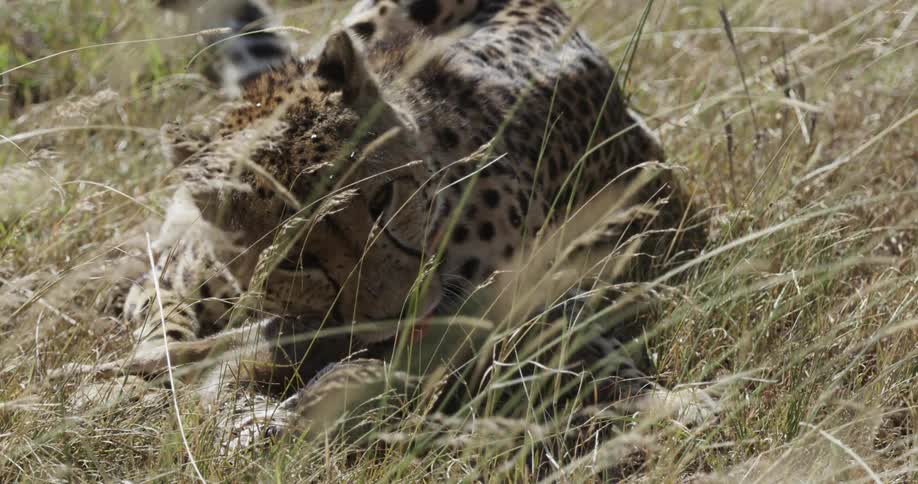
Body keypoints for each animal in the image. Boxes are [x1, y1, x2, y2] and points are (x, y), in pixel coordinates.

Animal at [70, 0, 715, 449]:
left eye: (383, 198)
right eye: (298, 259)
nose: (397, 312)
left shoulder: (540, 310)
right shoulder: (190, 278)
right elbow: (166, 325)